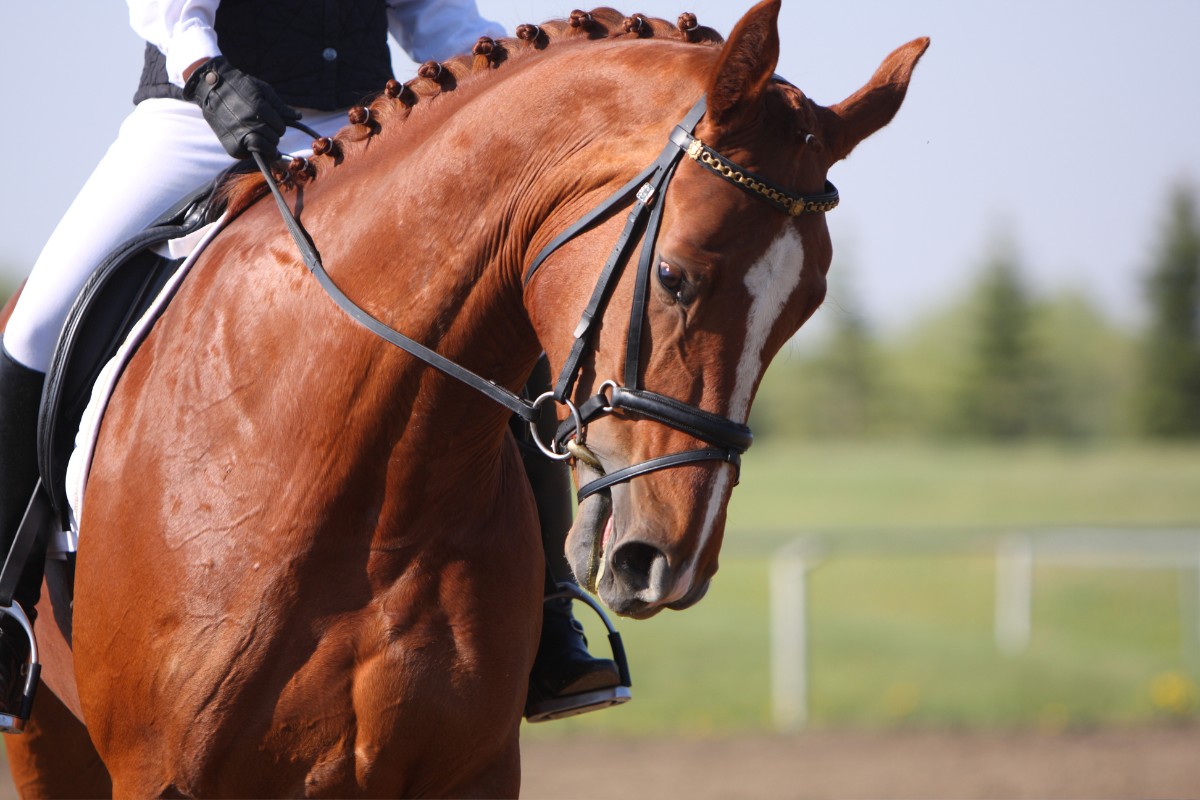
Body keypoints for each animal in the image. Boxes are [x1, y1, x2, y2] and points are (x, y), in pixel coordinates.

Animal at [3, 1, 926, 795]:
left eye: (806, 305)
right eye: (674, 275)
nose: (669, 559)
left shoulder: (466, 771)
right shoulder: (165, 774)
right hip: (47, 739)